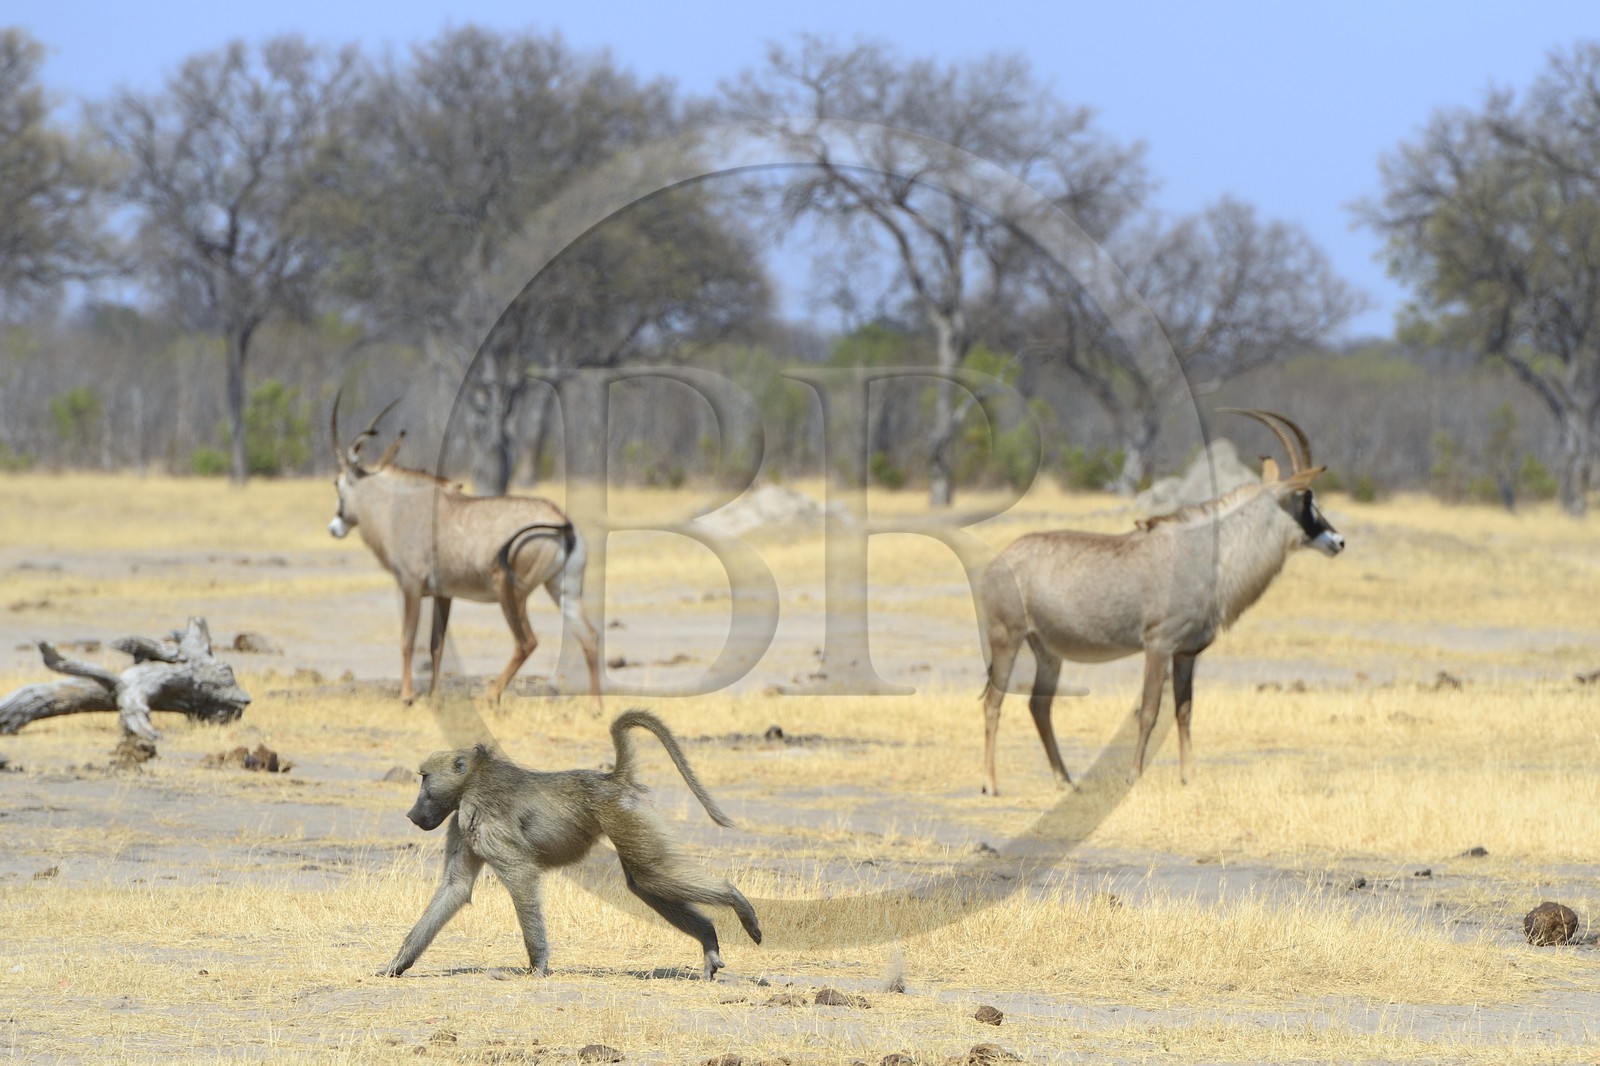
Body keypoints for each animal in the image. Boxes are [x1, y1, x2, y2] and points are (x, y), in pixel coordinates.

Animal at [378, 709, 761, 981]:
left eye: (424, 779)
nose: (412, 814)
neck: (473, 779)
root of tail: (612, 780)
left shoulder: (481, 818)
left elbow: (521, 876)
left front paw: (538, 965)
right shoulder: (462, 825)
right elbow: (455, 887)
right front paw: (397, 963)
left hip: (624, 816)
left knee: (651, 875)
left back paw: (736, 901)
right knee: (645, 882)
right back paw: (708, 939)